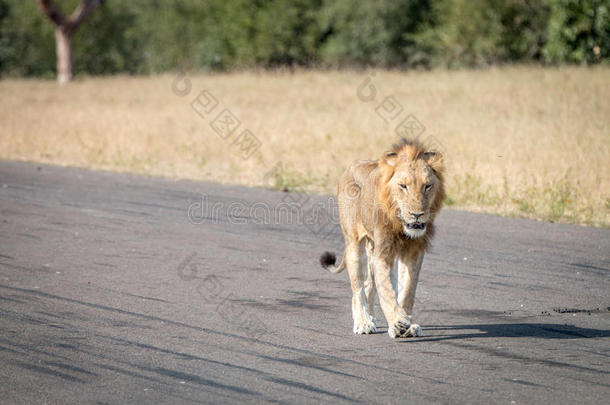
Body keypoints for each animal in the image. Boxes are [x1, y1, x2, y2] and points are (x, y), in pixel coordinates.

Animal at [320, 139, 444, 338]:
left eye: (427, 186)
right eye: (403, 186)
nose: (417, 215)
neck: (401, 225)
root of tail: (353, 165)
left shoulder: (413, 253)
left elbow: (407, 290)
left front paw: (406, 325)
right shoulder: (383, 253)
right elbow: (386, 290)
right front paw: (398, 323)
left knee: (370, 285)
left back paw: (372, 318)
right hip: (354, 245)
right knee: (358, 289)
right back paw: (363, 323)